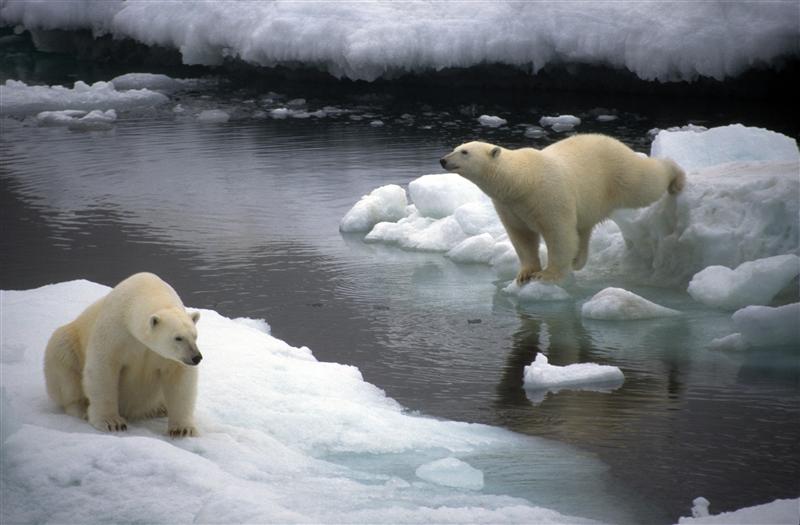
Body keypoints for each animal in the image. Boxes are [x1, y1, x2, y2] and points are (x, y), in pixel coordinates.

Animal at [43, 272, 203, 436]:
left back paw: (160, 408)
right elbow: (103, 369)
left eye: (195, 336)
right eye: (178, 338)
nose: (196, 357)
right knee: (64, 365)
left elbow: (180, 378)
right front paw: (111, 422)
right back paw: (81, 409)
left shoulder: (167, 356)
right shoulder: (115, 331)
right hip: (68, 344)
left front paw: (182, 429)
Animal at [440, 135, 684, 282]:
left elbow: (558, 233)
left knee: (645, 183)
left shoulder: (548, 195)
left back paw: (676, 177)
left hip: (618, 172)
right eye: (455, 148)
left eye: (465, 152)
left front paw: (547, 274)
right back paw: (578, 261)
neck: (521, 181)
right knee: (584, 228)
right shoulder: (509, 205)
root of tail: (616, 142)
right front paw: (525, 273)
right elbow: (521, 236)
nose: (443, 160)